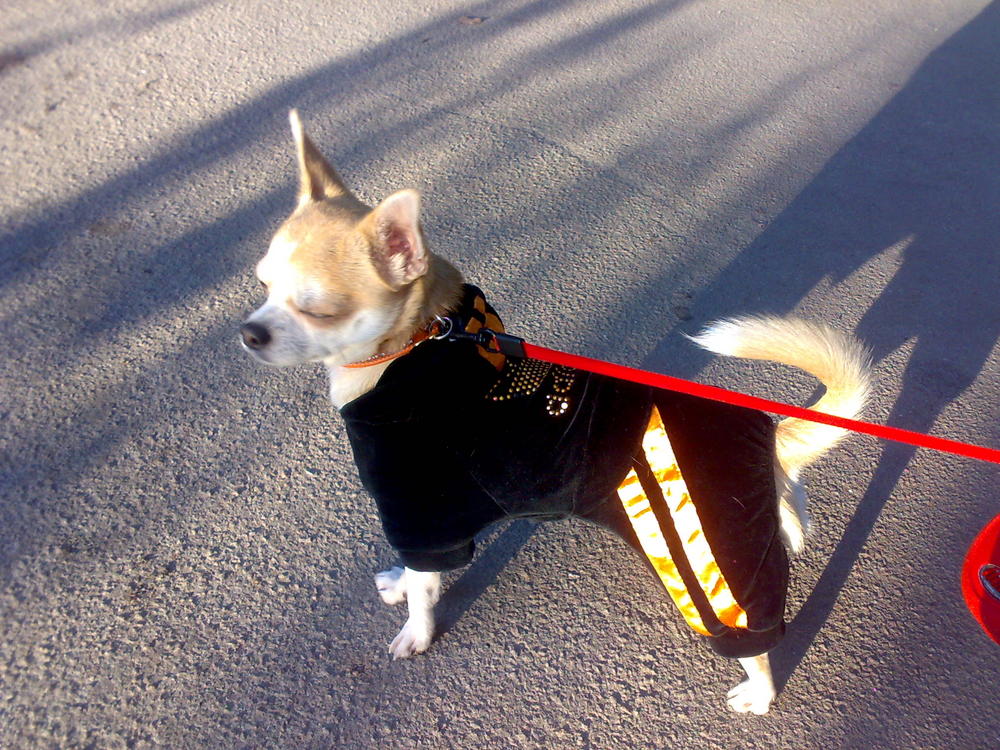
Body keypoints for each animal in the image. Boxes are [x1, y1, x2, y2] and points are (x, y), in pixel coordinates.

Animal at [240, 110, 872, 715]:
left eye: (317, 310)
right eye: (264, 285)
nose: (248, 333)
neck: (419, 345)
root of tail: (764, 430)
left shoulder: (419, 511)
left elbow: (424, 586)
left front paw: (415, 632)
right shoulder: (434, 520)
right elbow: (420, 574)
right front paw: (400, 582)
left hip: (706, 554)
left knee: (750, 631)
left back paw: (759, 693)